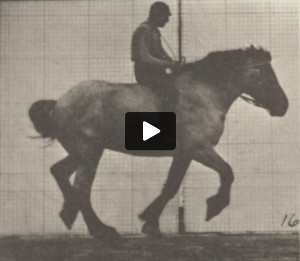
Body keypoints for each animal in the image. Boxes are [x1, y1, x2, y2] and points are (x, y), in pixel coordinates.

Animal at [28, 45, 288, 243]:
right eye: (261, 73)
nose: (283, 106)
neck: (205, 94)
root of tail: (60, 103)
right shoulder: (199, 149)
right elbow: (227, 172)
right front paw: (214, 206)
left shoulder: (184, 153)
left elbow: (171, 186)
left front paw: (150, 223)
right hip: (89, 152)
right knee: (82, 188)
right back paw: (101, 230)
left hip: (85, 152)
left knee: (60, 172)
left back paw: (69, 214)